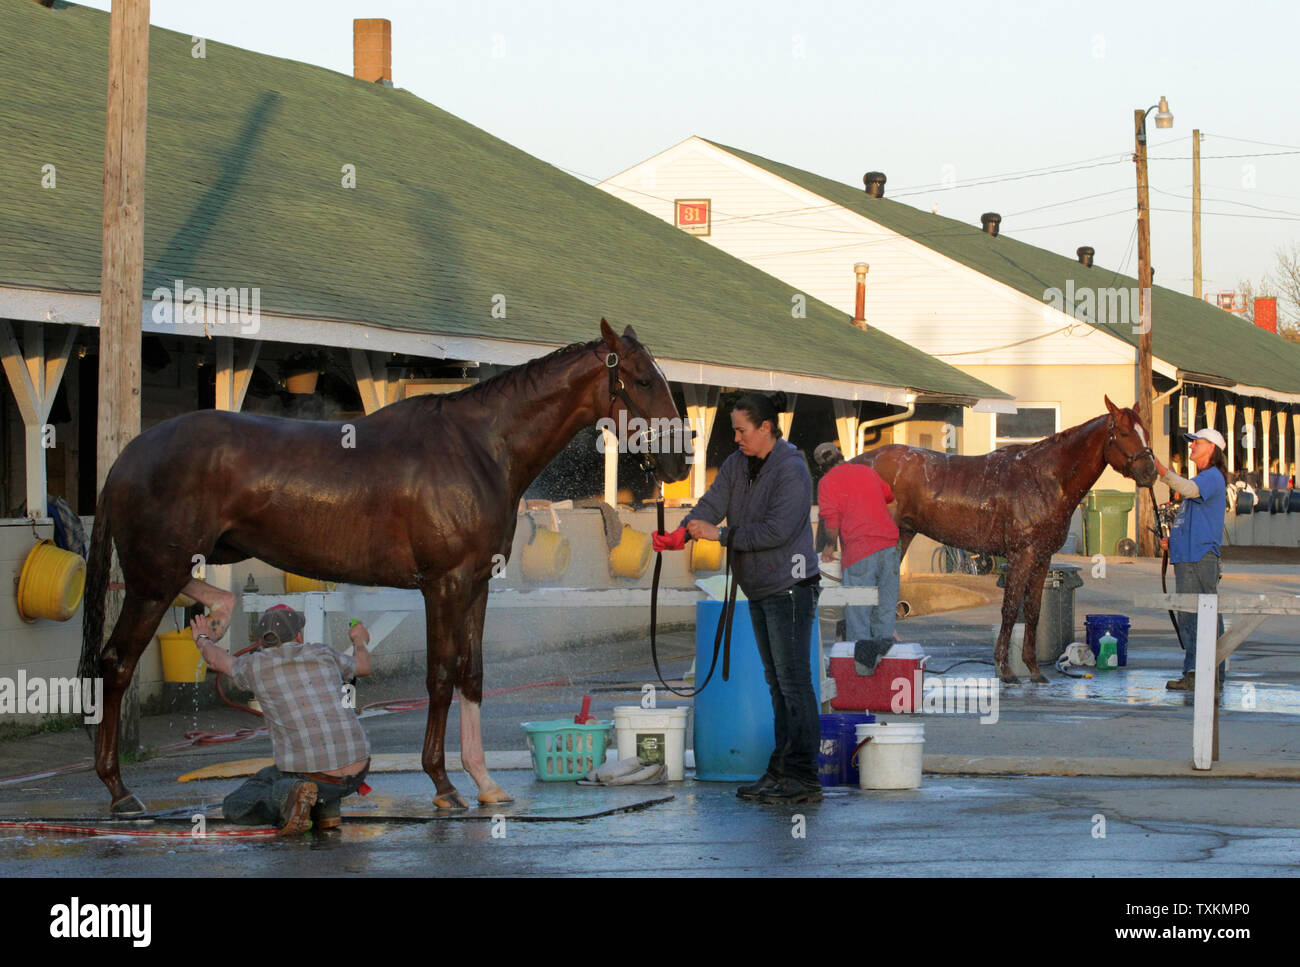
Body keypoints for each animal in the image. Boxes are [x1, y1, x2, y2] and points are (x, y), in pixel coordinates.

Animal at [81, 321, 691, 811]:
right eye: (641, 379)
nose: (680, 461)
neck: (479, 447)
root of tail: (128, 456)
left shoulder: (475, 586)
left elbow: (472, 675)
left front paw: (485, 782)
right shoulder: (443, 586)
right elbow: (441, 676)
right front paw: (443, 785)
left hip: (165, 571)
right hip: (152, 580)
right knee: (116, 664)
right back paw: (118, 790)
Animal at [857, 397, 1154, 686]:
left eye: (1145, 432)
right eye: (1124, 433)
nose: (1150, 471)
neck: (1044, 478)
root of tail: (860, 462)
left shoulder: (1042, 557)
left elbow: (1032, 611)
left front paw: (1034, 670)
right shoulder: (1022, 554)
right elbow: (1010, 609)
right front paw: (1006, 669)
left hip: (902, 536)